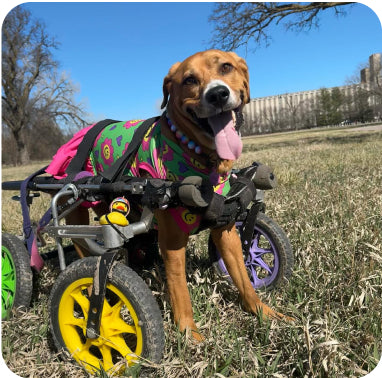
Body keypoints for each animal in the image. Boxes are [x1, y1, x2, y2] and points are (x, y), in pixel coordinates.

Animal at [45, 48, 290, 342]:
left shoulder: (227, 231)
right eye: (189, 80)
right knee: (84, 250)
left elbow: (243, 277)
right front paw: (190, 335)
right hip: (78, 209)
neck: (200, 157)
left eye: (226, 67)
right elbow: (180, 291)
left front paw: (264, 312)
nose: (217, 94)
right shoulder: (172, 243)